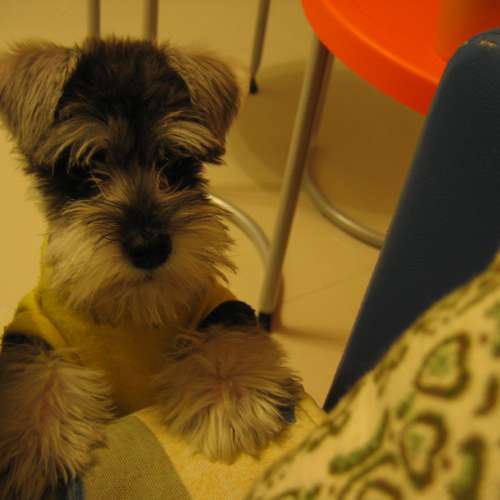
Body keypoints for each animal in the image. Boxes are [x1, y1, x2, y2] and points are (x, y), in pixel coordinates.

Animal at [0, 37, 301, 499]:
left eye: (173, 162)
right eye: (85, 168)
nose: (150, 246)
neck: (133, 311)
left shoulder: (219, 305)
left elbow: (226, 340)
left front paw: (234, 401)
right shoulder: (34, 330)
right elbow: (35, 378)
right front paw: (36, 447)